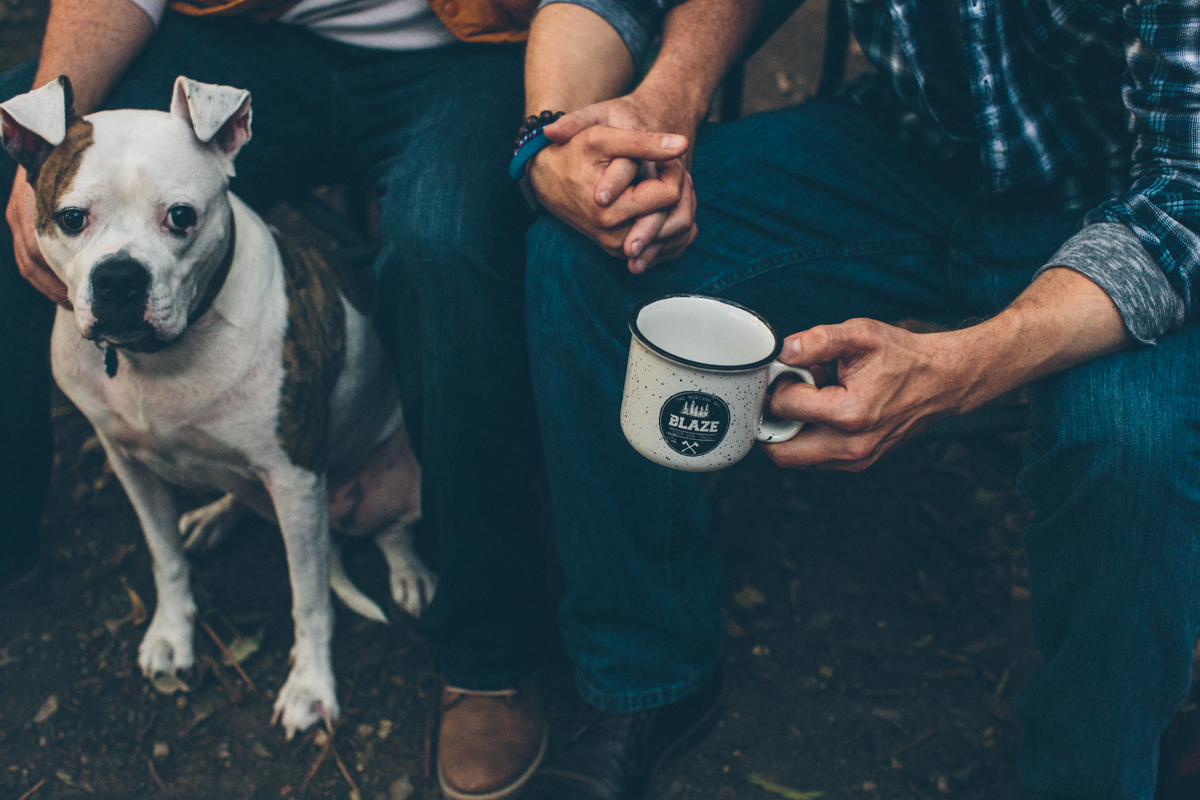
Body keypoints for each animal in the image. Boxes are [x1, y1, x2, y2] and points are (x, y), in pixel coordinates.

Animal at [0, 76, 441, 738]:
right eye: (71, 218)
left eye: (181, 217)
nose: (120, 278)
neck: (158, 360)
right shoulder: (126, 461)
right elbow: (164, 558)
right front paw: (171, 634)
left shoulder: (295, 476)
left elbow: (309, 600)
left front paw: (311, 686)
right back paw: (212, 517)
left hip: (395, 476)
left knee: (391, 531)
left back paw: (410, 573)